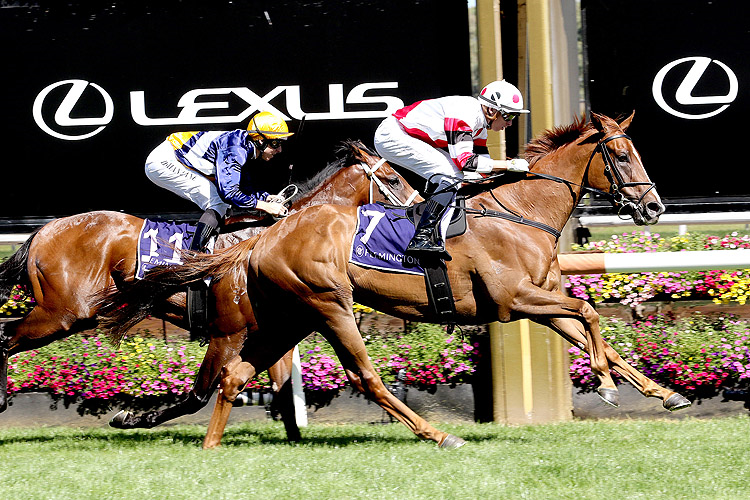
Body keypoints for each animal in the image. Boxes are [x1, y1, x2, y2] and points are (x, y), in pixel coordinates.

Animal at [0, 140, 418, 438]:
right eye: (393, 179)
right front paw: (132, 417)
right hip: (64, 313)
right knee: (7, 337)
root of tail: (42, 231)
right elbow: (200, 394)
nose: (419, 204)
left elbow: (282, 387)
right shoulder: (228, 332)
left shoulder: (272, 329)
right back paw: (3, 399)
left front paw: (294, 438)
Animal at [98, 114, 692, 450]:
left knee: (231, 377)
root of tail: (263, 238)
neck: (520, 211)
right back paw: (439, 434)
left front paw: (664, 394)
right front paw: (609, 387)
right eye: (621, 154)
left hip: (289, 318)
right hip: (329, 306)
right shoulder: (515, 298)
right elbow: (590, 314)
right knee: (363, 377)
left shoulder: (535, 299)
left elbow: (596, 335)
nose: (654, 208)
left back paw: (209, 448)